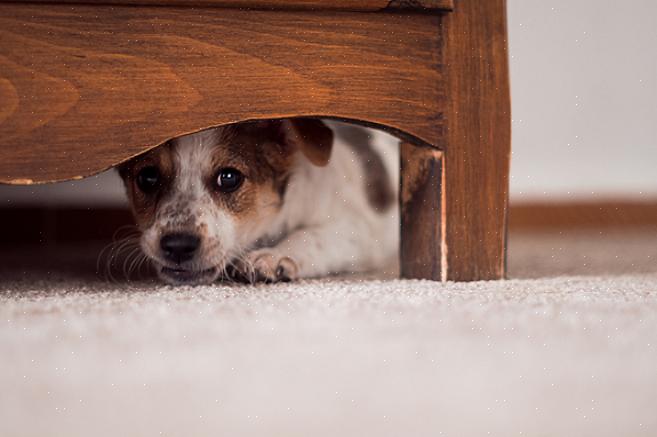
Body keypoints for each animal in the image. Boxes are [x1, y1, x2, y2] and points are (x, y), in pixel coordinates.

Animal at [116, 117, 400, 284]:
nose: (178, 245)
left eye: (229, 178)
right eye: (147, 177)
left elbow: (312, 235)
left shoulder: (358, 230)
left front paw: (275, 256)